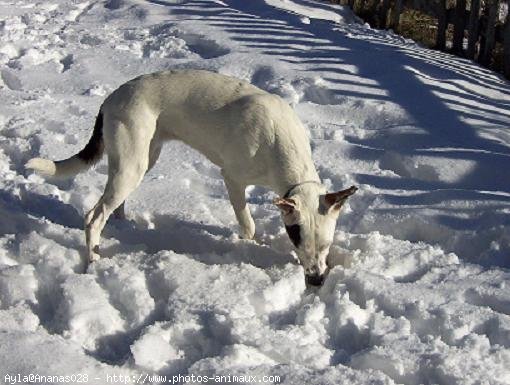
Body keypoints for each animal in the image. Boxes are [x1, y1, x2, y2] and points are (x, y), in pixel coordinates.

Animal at [25, 70, 354, 284]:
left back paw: (123, 224)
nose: (317, 281)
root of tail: (111, 98)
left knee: (114, 204)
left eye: (325, 245)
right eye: (298, 240)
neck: (279, 144)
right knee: (94, 216)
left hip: (142, 159)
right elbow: (247, 225)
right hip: (132, 163)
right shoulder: (232, 179)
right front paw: (251, 246)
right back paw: (94, 259)